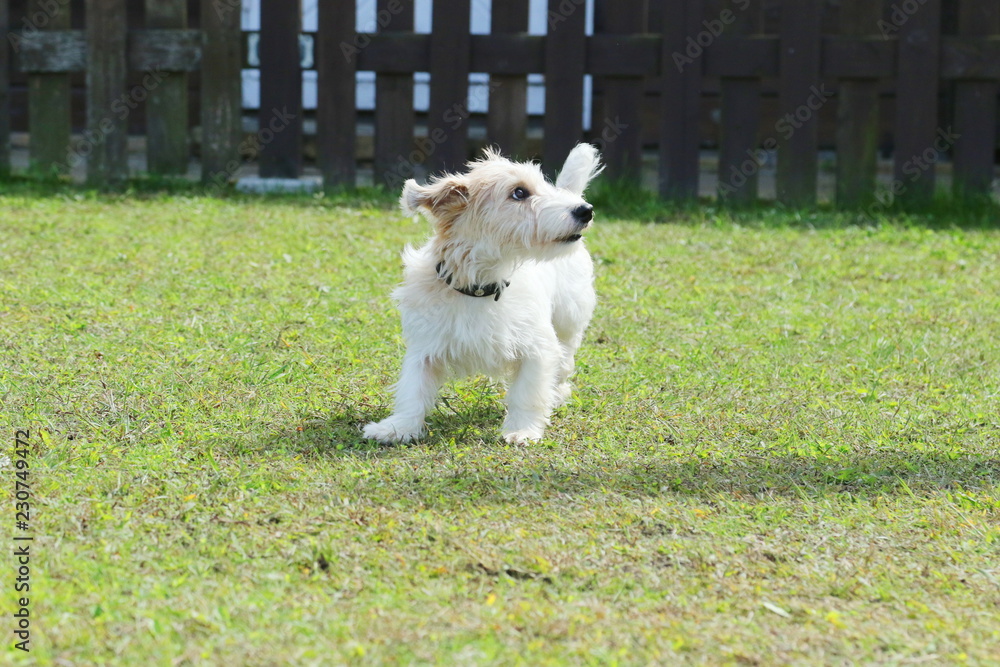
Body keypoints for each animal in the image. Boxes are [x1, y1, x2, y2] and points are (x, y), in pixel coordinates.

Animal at [366, 145, 600, 444]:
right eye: (519, 192)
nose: (585, 211)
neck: (479, 287)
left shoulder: (538, 348)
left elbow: (528, 393)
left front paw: (522, 429)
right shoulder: (423, 348)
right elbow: (412, 391)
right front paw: (398, 427)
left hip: (568, 323)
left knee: (564, 362)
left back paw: (557, 393)